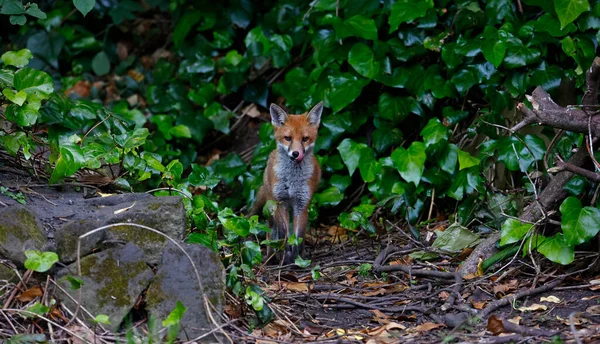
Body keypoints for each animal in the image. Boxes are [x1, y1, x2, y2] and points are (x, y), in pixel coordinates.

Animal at [250, 101, 324, 264]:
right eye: (288, 138)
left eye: (305, 139)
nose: (296, 154)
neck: (292, 180)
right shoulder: (281, 203)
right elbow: (284, 234)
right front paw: (285, 257)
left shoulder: (301, 205)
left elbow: (298, 238)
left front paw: (296, 260)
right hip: (270, 207)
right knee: (270, 233)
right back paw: (271, 258)